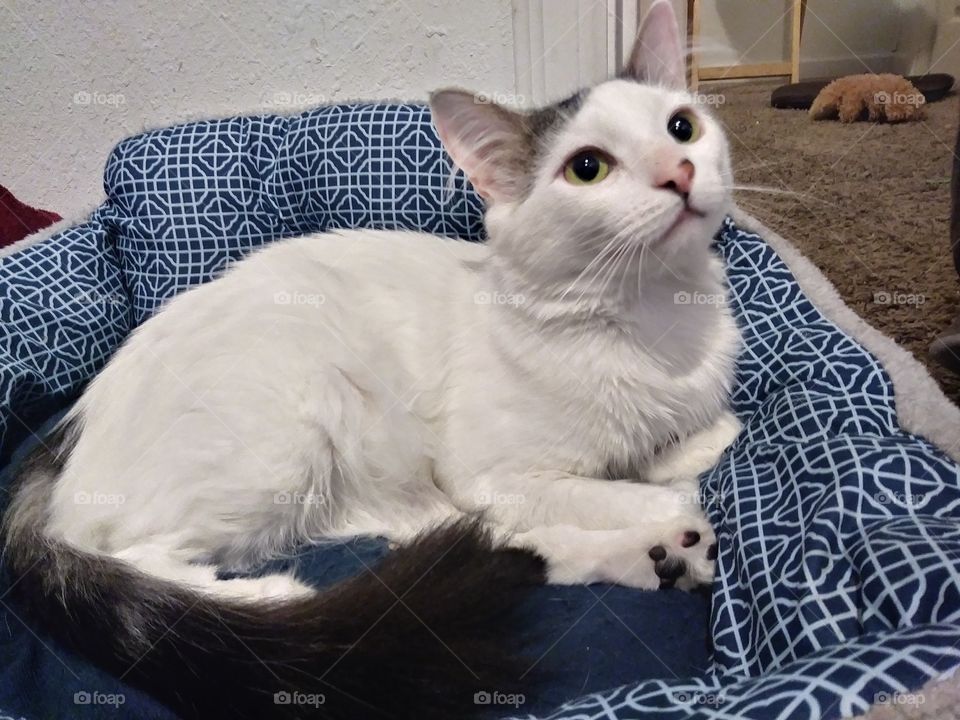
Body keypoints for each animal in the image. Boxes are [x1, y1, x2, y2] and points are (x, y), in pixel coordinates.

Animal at [3, 2, 744, 716]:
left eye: (681, 128)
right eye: (588, 167)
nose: (678, 172)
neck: (648, 318)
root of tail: (68, 433)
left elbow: (683, 444)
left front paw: (691, 452)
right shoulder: (493, 474)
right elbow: (619, 489)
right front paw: (667, 501)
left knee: (493, 545)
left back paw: (656, 559)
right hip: (284, 428)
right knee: (139, 561)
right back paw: (265, 601)